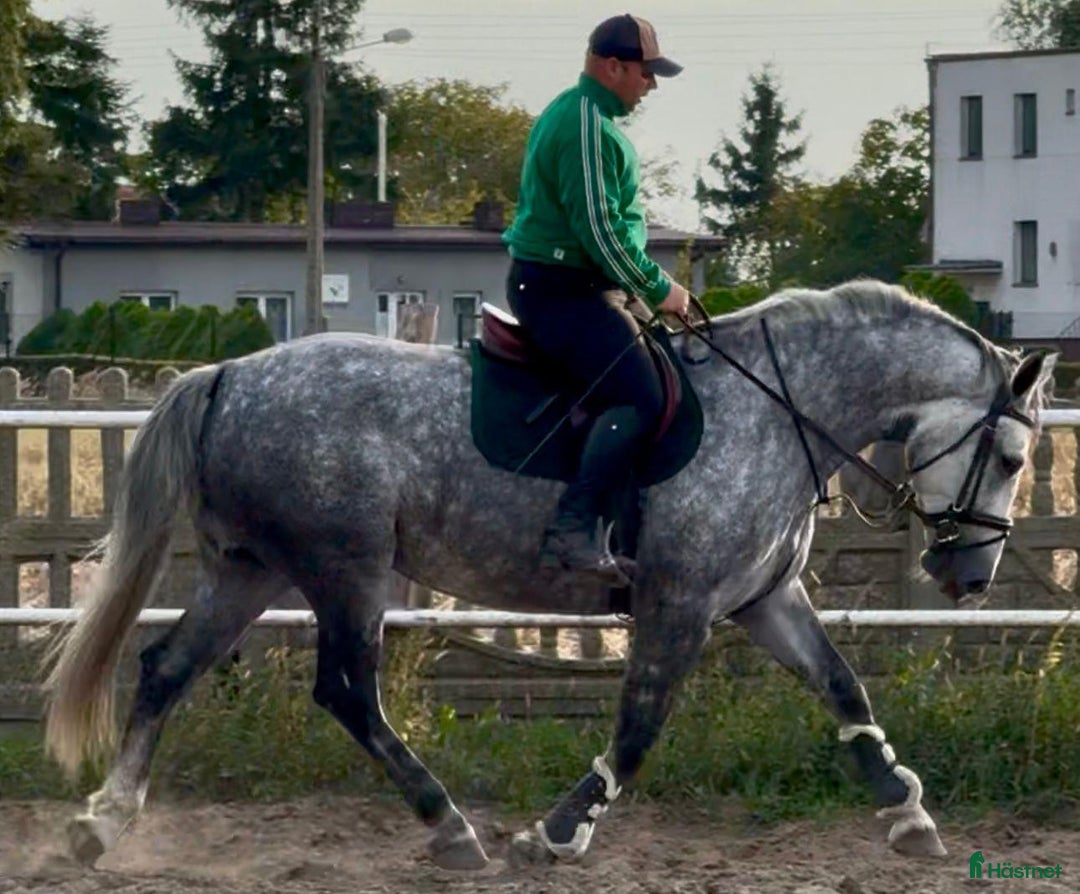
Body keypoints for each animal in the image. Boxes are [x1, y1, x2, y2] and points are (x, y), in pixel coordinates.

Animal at [42, 279, 1054, 871]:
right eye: (1009, 456)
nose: (968, 576)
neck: (779, 409)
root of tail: (230, 375)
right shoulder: (680, 602)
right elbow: (639, 727)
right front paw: (558, 831)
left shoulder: (764, 600)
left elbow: (844, 688)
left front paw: (906, 813)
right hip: (345, 569)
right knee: (347, 692)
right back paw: (451, 828)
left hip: (250, 570)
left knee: (167, 669)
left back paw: (103, 821)